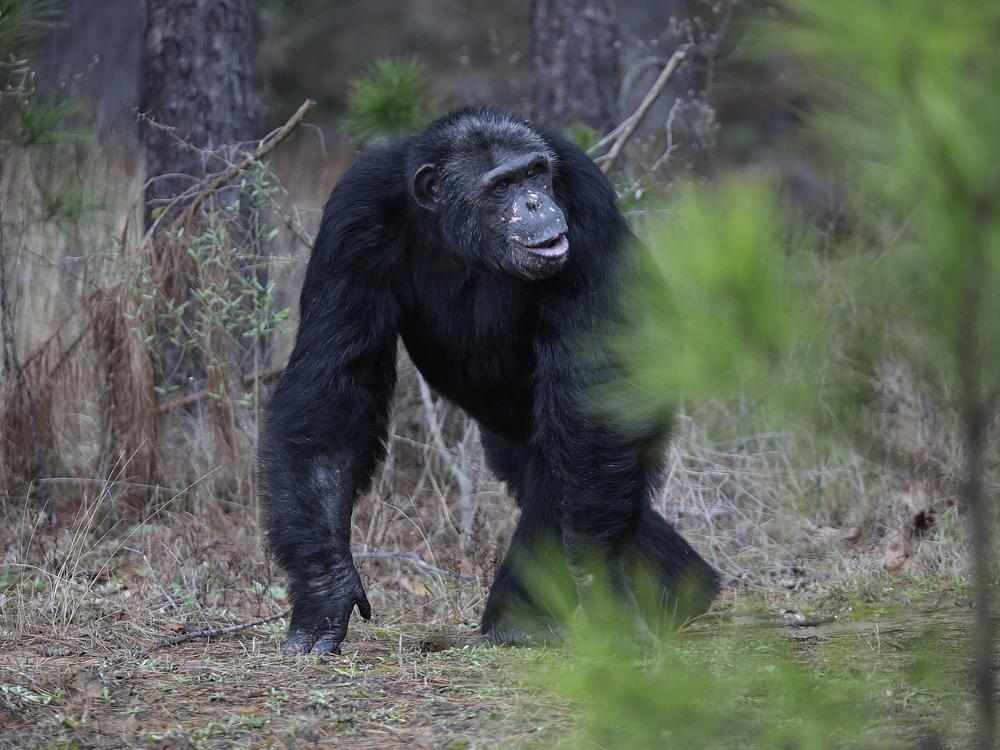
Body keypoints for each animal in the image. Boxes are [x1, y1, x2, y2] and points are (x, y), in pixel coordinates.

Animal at [256, 106, 720, 656]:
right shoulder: (353, 217)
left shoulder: (585, 200)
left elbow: (591, 383)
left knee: (570, 454)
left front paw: (599, 580)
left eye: (535, 173)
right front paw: (325, 590)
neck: (455, 230)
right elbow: (335, 388)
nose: (535, 202)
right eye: (501, 185)